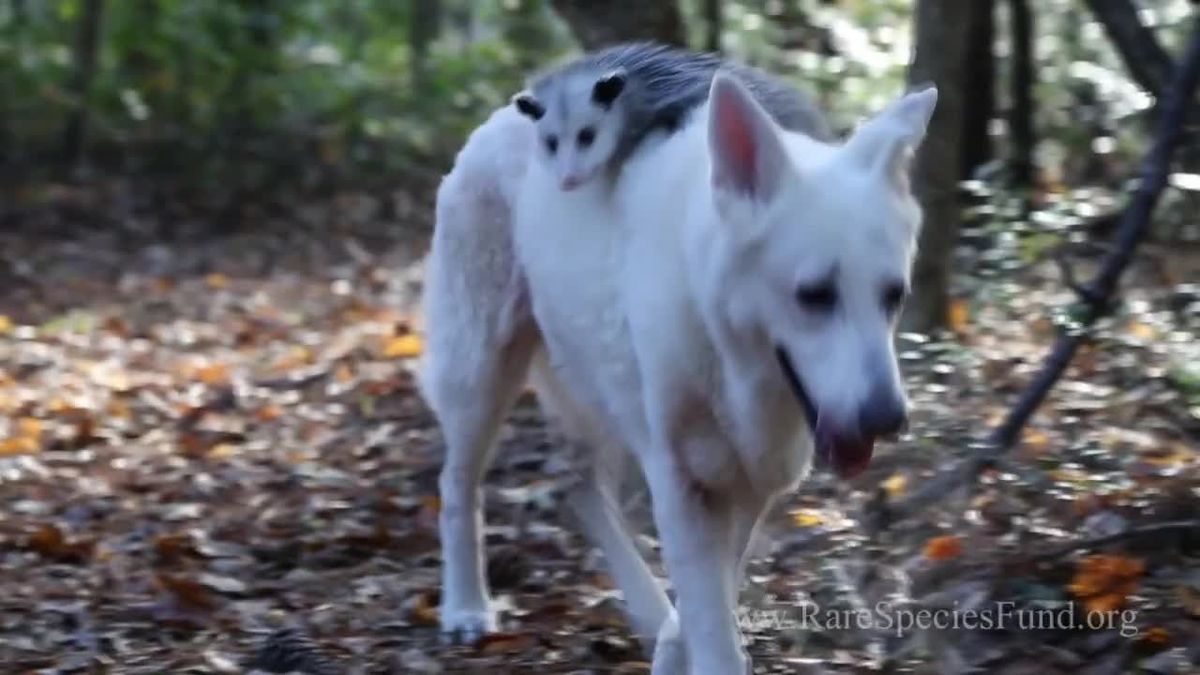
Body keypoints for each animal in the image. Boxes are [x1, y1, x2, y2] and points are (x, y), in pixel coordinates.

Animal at [422, 70, 936, 667]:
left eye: (893, 296)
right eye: (814, 295)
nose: (888, 418)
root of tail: (505, 115)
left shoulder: (748, 485)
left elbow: (711, 597)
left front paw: (672, 650)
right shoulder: (682, 482)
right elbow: (712, 627)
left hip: (604, 404)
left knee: (578, 487)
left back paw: (647, 615)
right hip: (483, 375)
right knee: (457, 486)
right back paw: (465, 607)